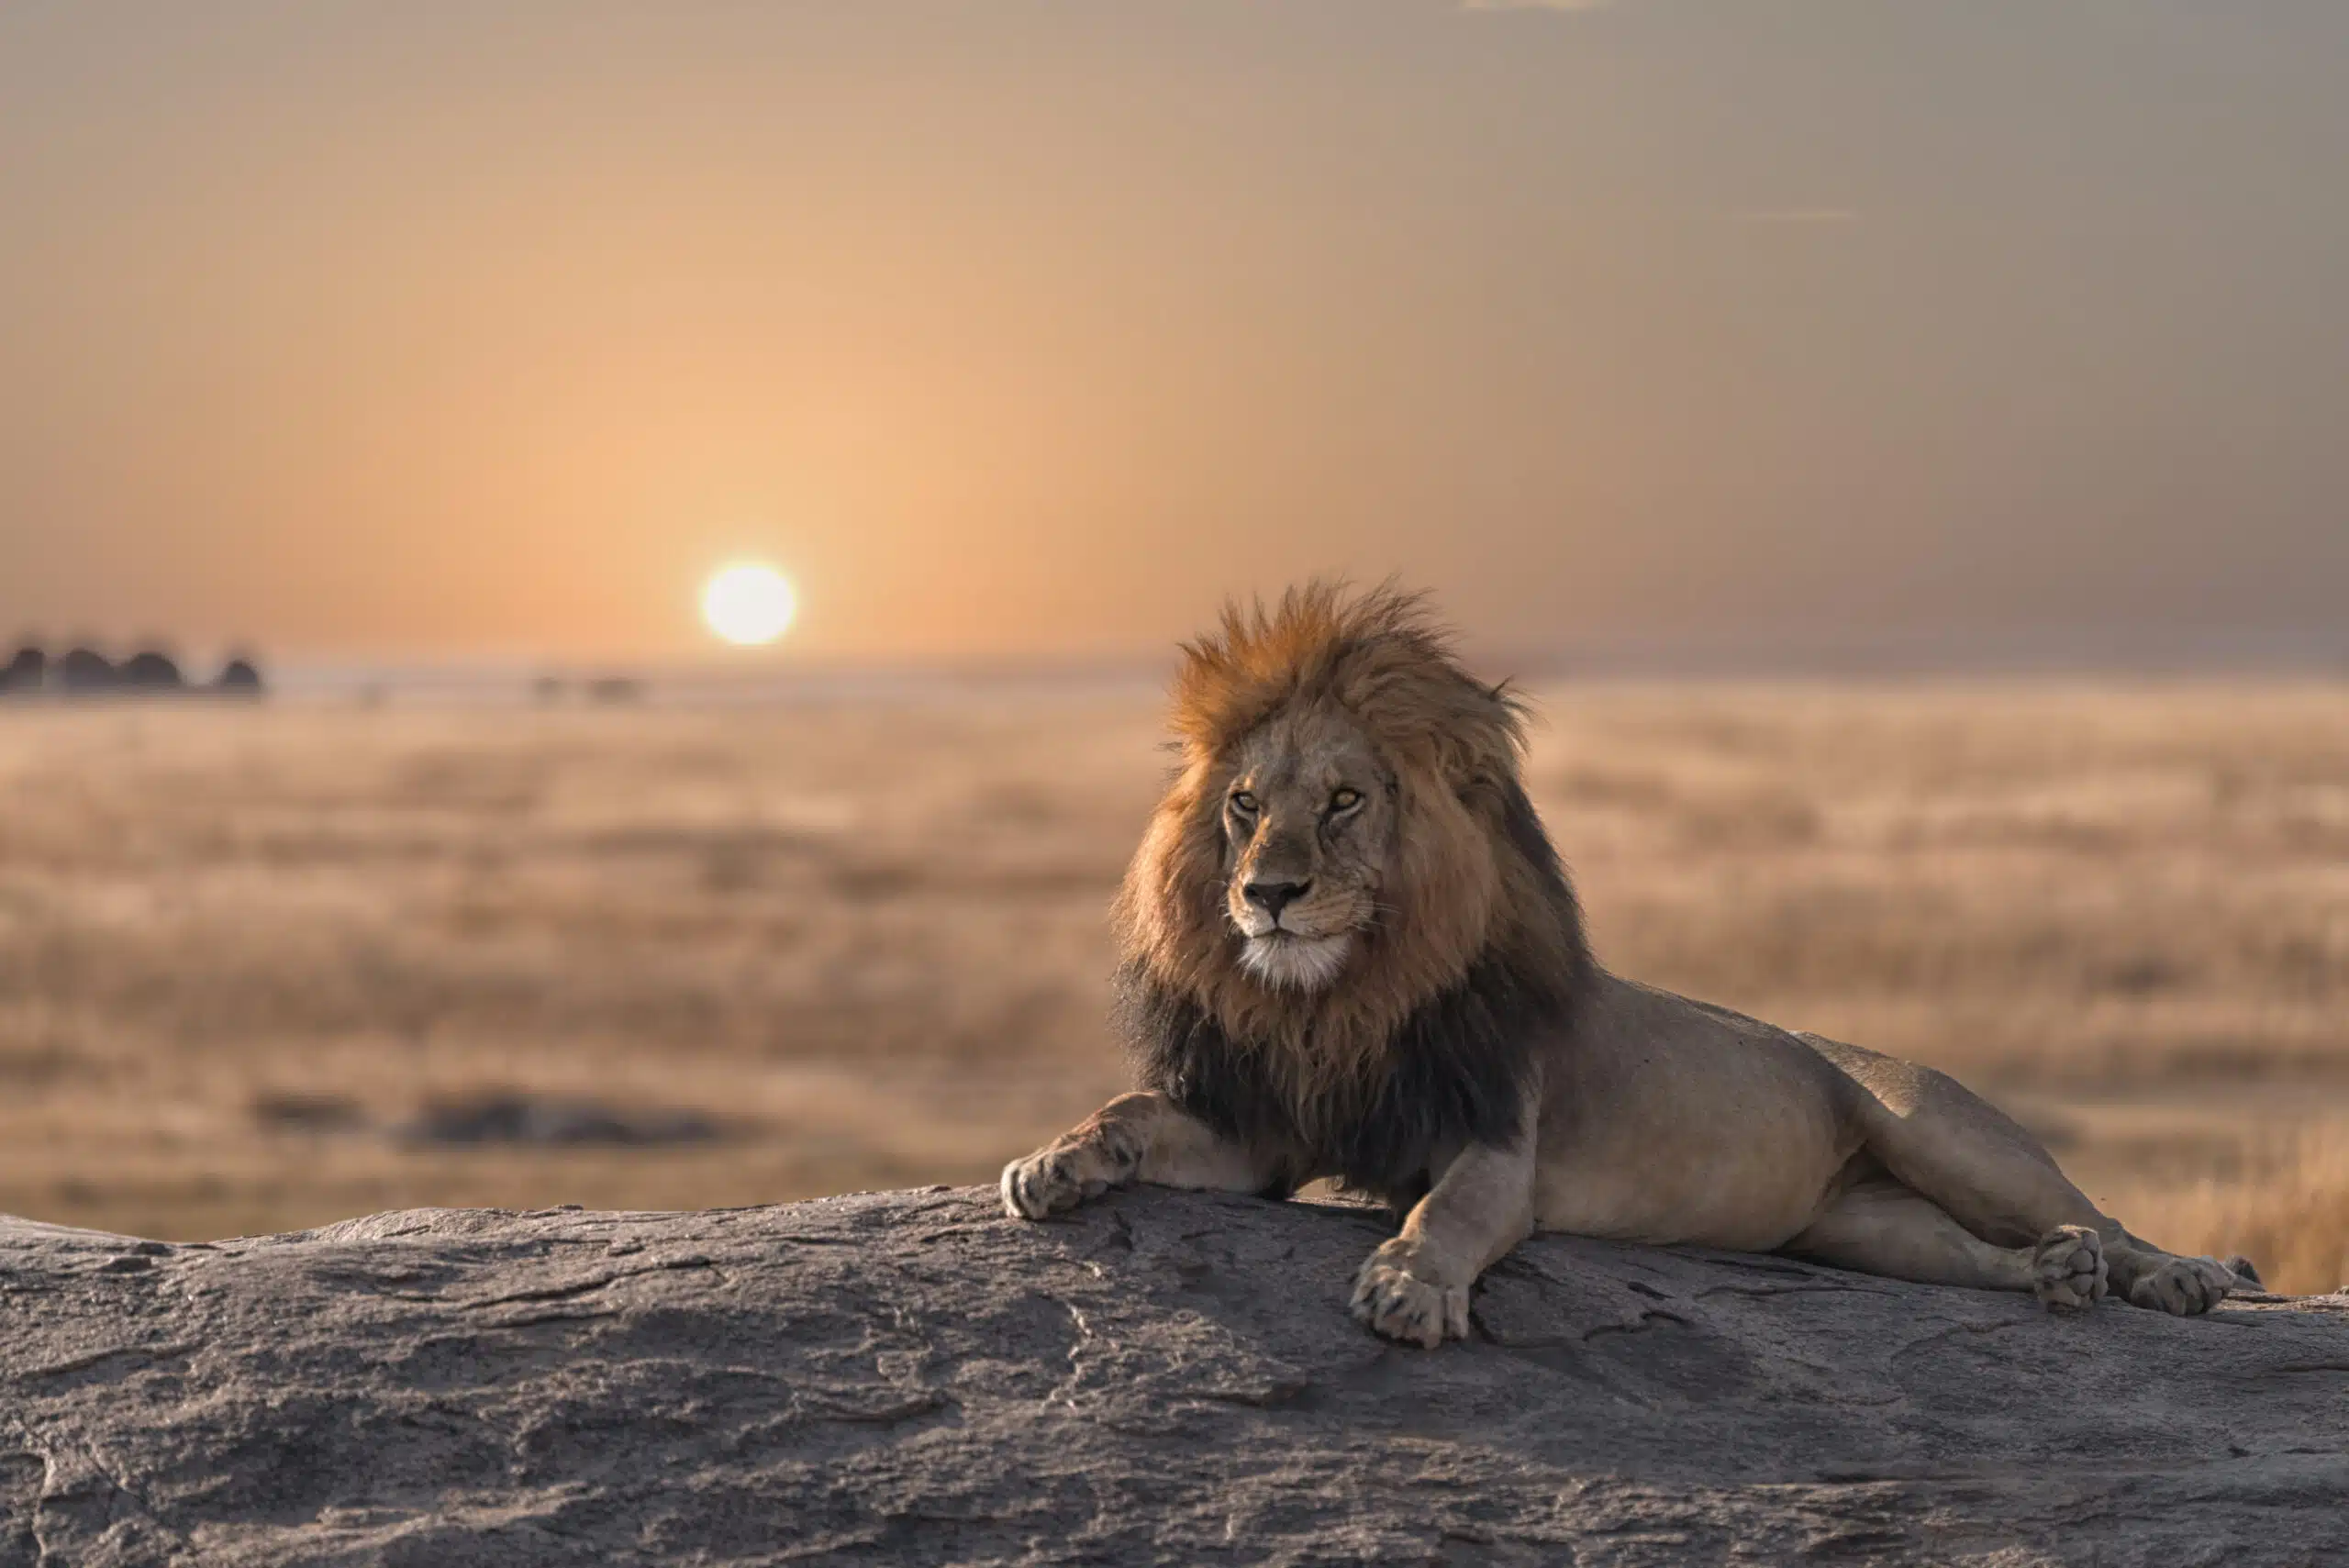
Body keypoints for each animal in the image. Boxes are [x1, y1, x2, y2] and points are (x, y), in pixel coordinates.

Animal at [996, 584, 2236, 1351]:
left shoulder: (1497, 1140)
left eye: (1344, 800)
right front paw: (1051, 1162)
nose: (1267, 892)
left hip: (1943, 1130)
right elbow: (1132, 1111)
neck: (1342, 999)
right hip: (1860, 1226)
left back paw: (2176, 1274)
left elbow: (1443, 1210)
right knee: (1979, 1255)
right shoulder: (1265, 1132)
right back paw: (2055, 1277)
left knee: (2094, 1212)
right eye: (1246, 806)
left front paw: (1406, 1285)